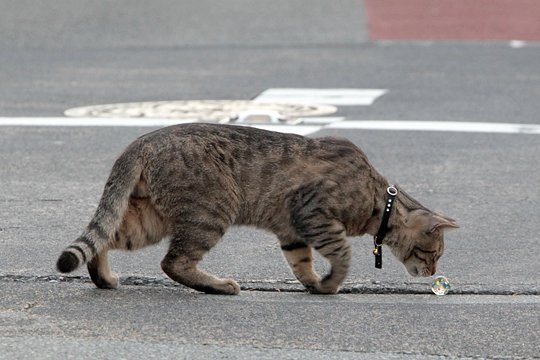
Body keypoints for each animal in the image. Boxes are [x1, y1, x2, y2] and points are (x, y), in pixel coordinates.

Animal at [57, 124, 458, 296]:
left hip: (148, 220)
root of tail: (141, 141)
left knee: (103, 239)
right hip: (213, 211)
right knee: (173, 263)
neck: (378, 199)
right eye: (434, 252)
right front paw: (331, 285)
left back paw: (105, 279)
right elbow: (342, 255)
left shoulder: (293, 232)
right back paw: (219, 287)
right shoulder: (314, 216)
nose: (433, 272)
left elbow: (301, 263)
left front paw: (313, 284)